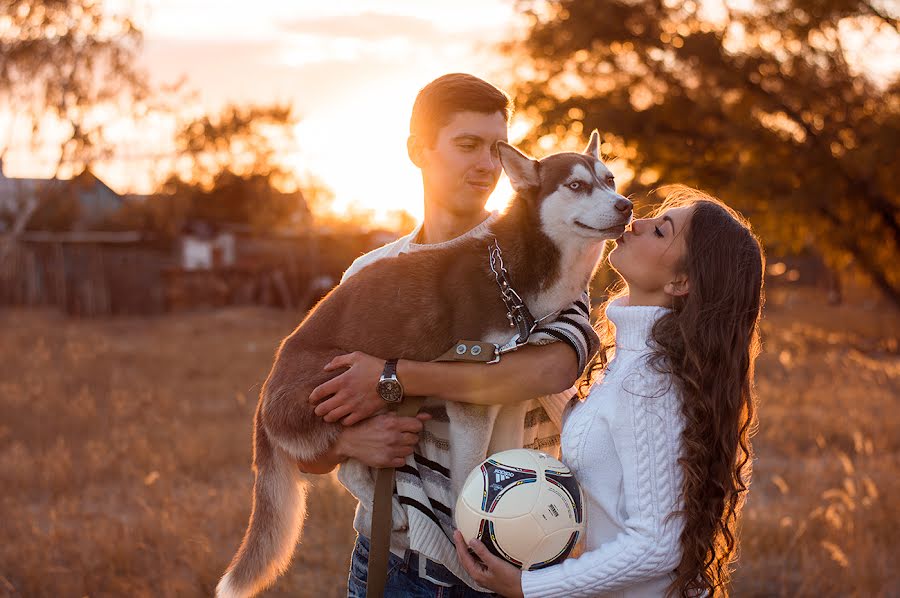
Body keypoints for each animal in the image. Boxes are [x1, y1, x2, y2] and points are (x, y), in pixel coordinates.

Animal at [220, 132, 632, 598]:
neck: (509, 274)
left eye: (609, 179)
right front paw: (467, 542)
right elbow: (468, 471)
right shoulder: (472, 401)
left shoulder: (510, 398)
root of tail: (265, 394)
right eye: (577, 186)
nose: (626, 205)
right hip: (342, 392)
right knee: (346, 463)